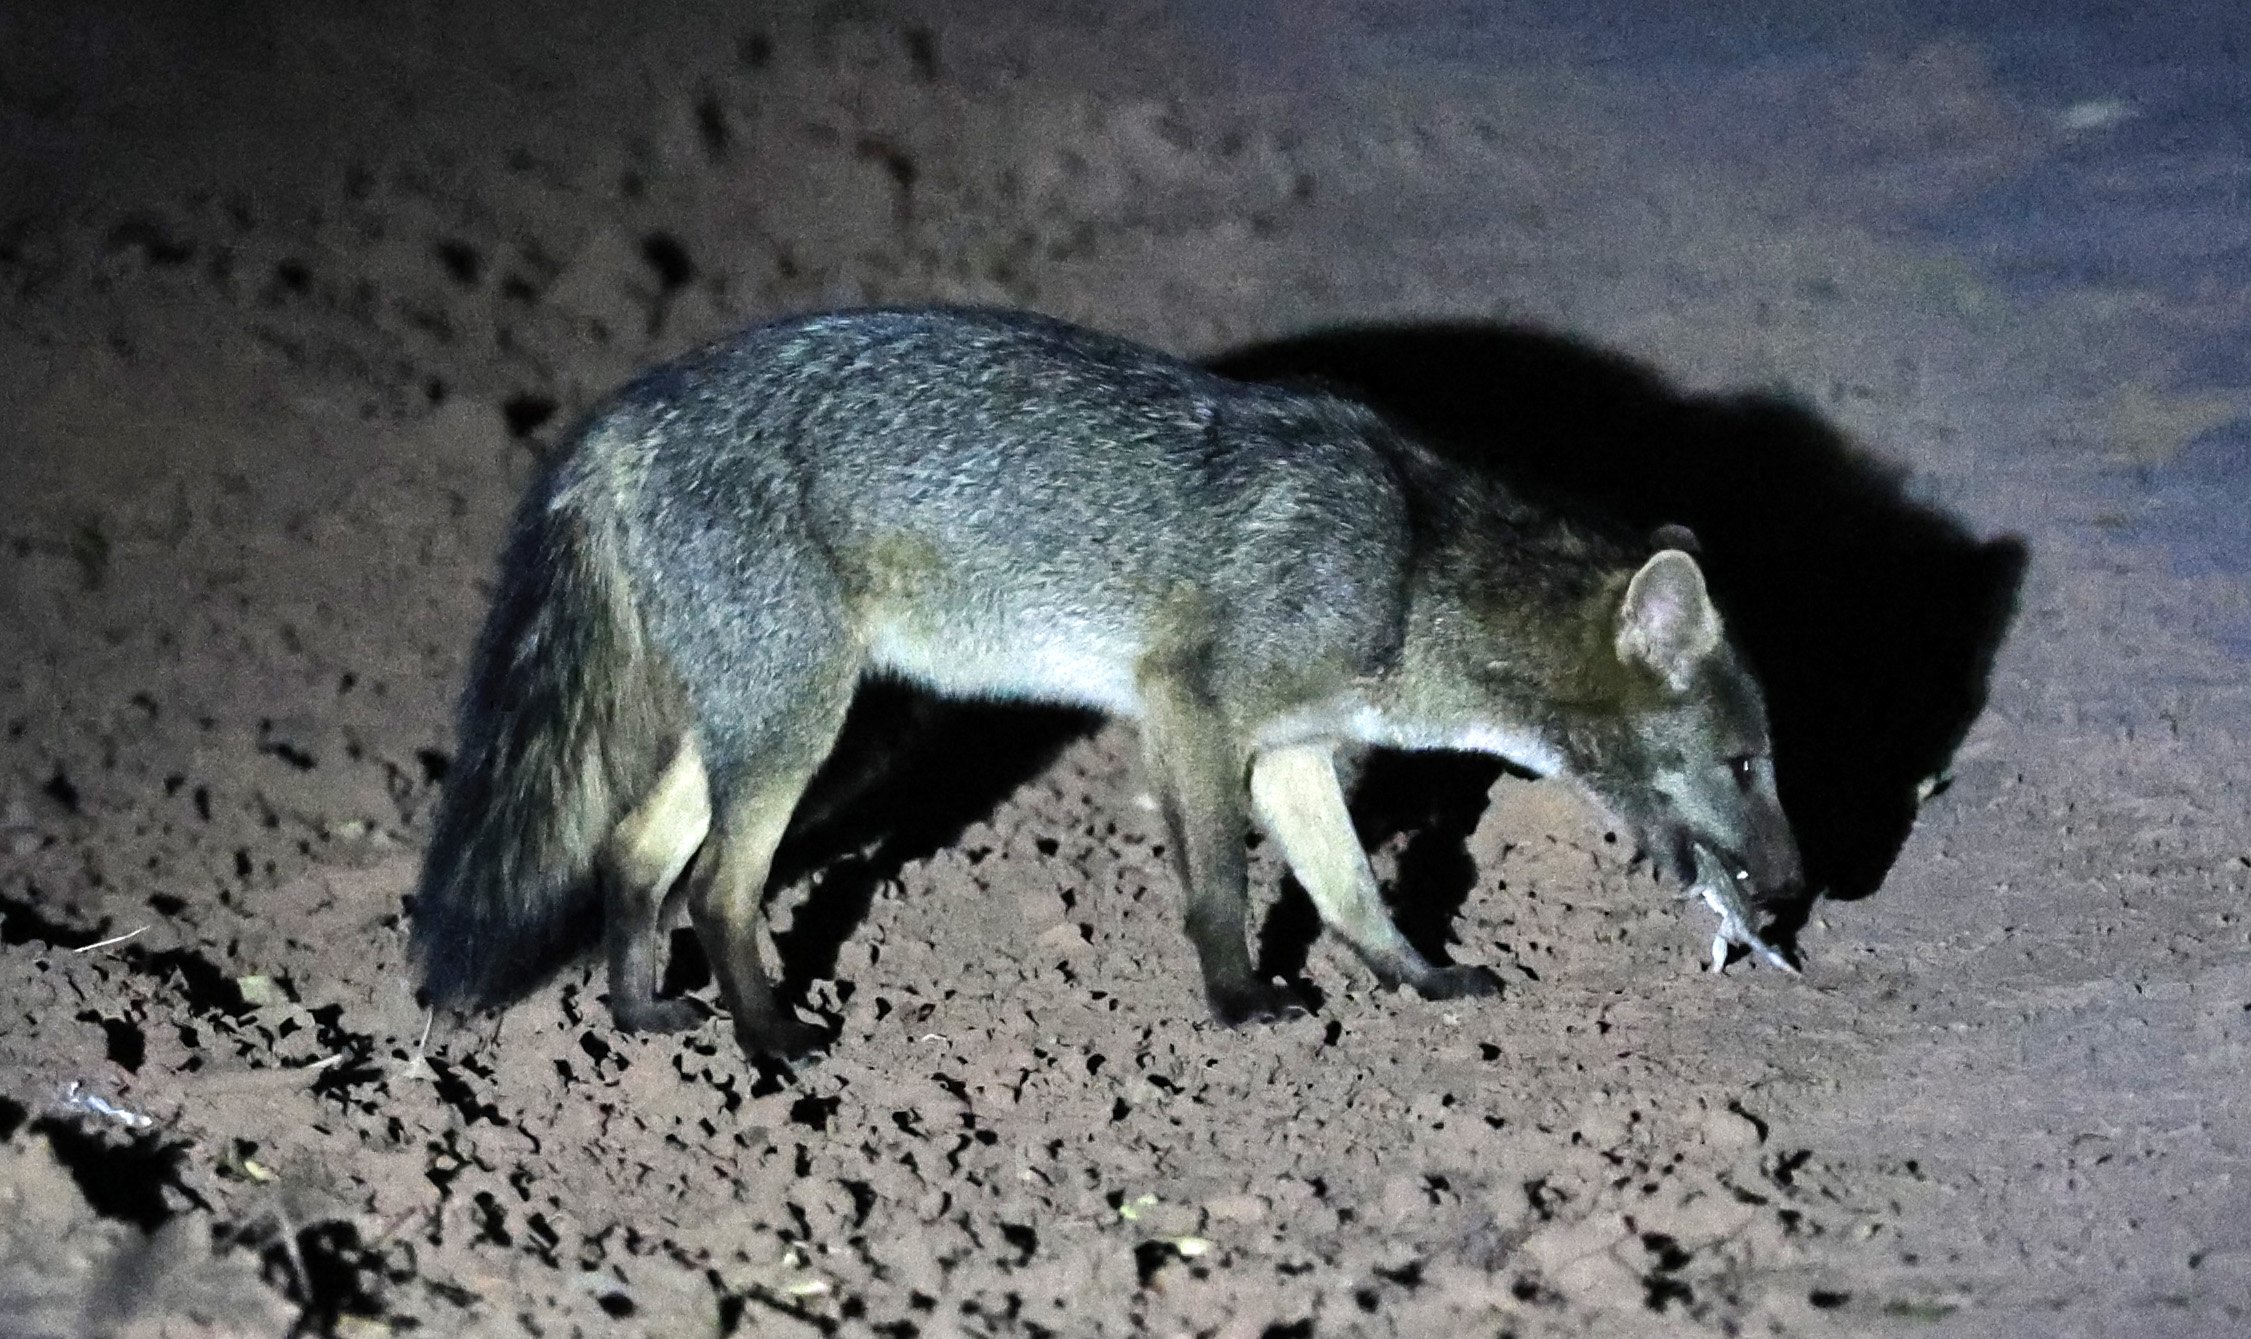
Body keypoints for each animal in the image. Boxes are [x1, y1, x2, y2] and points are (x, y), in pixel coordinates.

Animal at [410, 305, 1803, 1061]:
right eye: (1746, 763)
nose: (1798, 892)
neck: (1407, 558)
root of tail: (621, 417)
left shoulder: (1294, 750)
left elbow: (1352, 890)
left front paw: (1416, 979)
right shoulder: (1189, 708)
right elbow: (1221, 888)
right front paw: (1237, 1004)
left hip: (749, 725)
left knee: (633, 855)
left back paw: (640, 1017)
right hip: (799, 727)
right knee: (716, 885)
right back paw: (774, 1038)